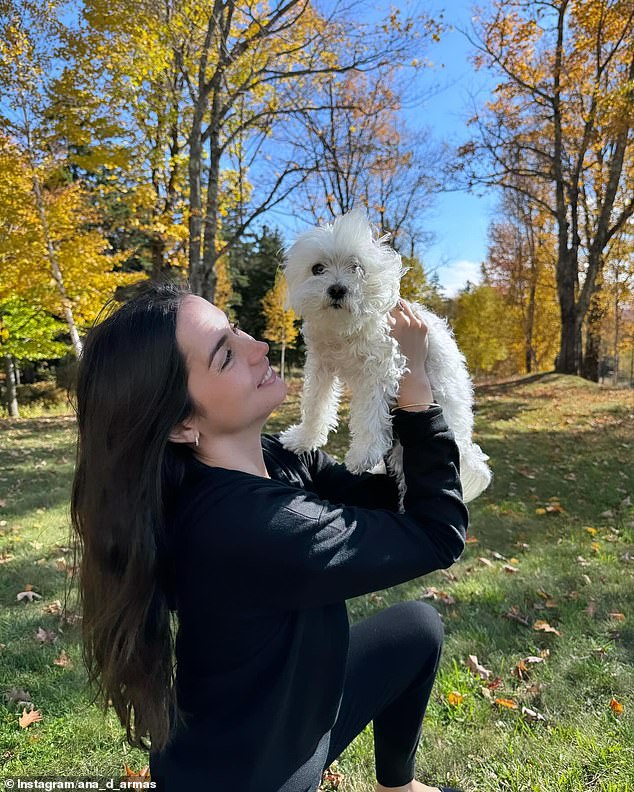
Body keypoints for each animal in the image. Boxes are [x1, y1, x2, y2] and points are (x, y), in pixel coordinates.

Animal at [278, 209, 492, 508]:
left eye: (356, 267)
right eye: (317, 269)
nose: (337, 289)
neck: (345, 330)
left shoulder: (381, 369)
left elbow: (369, 414)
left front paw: (363, 454)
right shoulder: (321, 366)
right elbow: (315, 406)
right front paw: (303, 438)